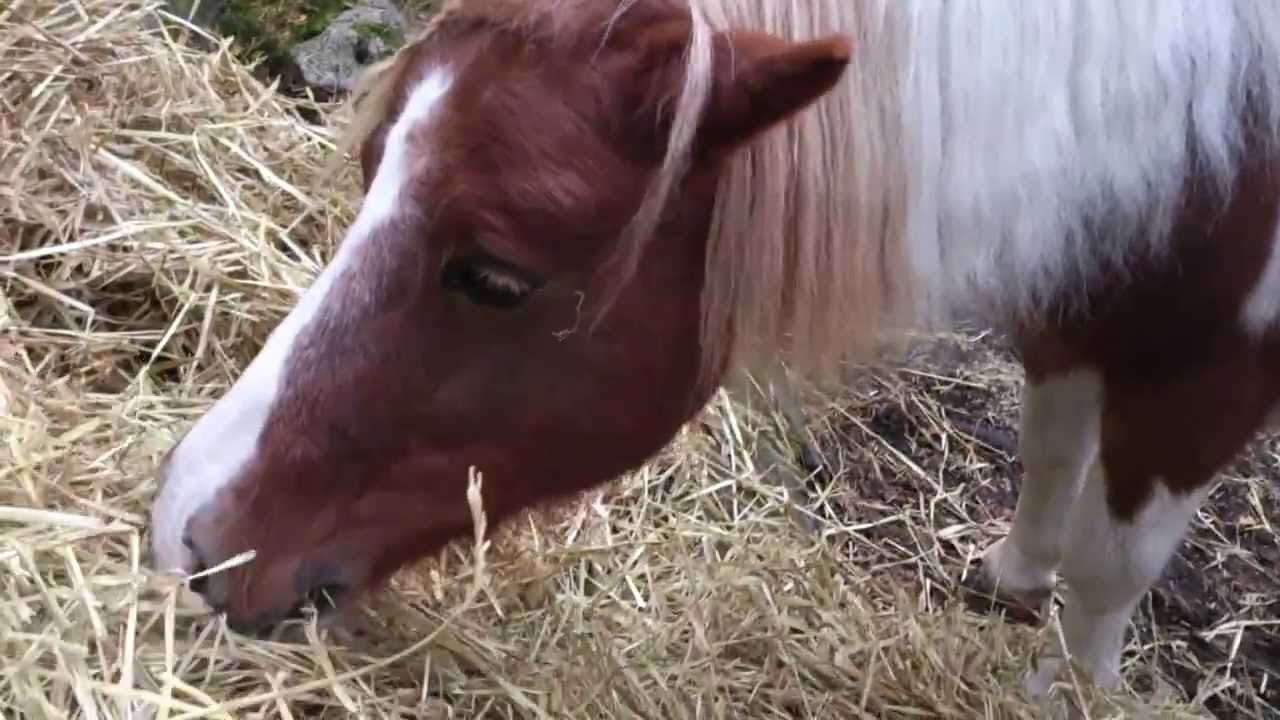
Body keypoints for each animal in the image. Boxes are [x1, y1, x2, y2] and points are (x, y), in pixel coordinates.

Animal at [149, 0, 1280, 699]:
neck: (1232, 116)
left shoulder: (1212, 371)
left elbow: (1110, 564)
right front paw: (1012, 575)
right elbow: (1050, 442)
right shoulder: (1087, 258)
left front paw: (1067, 689)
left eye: (498, 277)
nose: (189, 539)